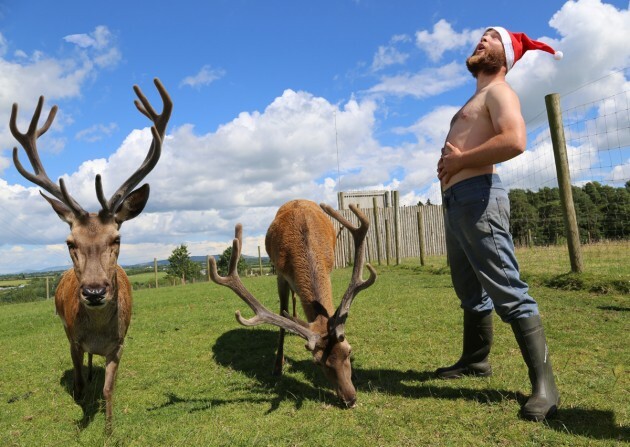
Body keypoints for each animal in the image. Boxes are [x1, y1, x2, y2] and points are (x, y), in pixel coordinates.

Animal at [9, 78, 173, 434]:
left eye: (117, 238)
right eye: (70, 242)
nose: (95, 291)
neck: (98, 334)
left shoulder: (120, 344)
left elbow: (109, 388)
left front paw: (110, 429)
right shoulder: (72, 337)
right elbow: (80, 381)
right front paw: (81, 406)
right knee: (82, 366)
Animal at [209, 200, 376, 410]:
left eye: (349, 351)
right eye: (317, 362)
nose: (350, 399)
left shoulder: (329, 268)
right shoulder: (280, 275)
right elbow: (282, 312)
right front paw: (277, 366)